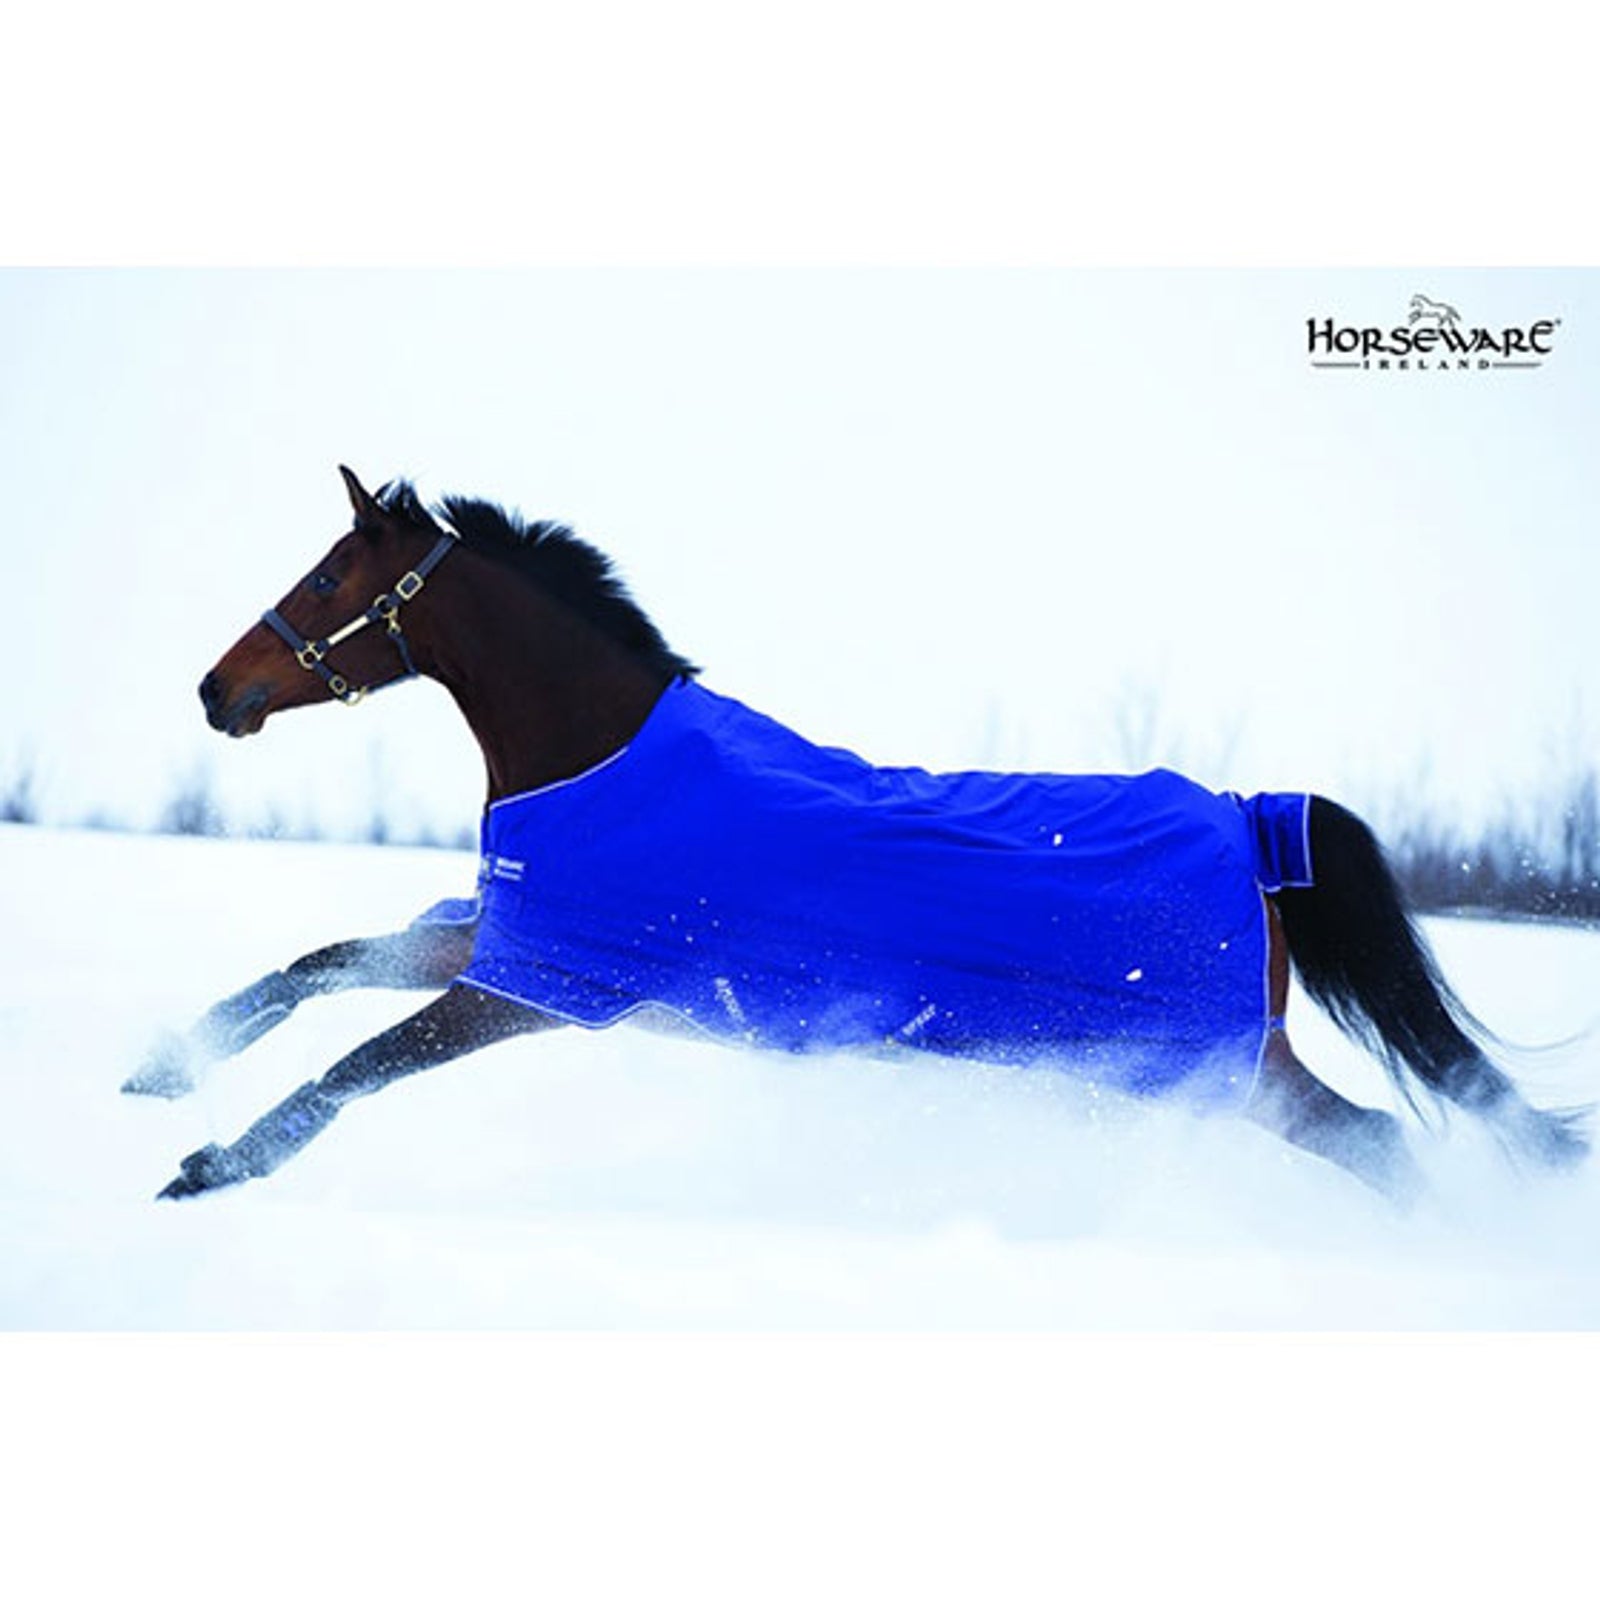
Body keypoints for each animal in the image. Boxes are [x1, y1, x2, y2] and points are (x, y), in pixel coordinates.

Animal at [142, 465, 1590, 1205]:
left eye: (330, 574)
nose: (216, 691)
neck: (598, 762)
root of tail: (1254, 827)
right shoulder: (513, 938)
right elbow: (325, 963)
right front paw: (165, 1061)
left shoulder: (542, 982)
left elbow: (359, 1066)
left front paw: (212, 1166)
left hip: (1226, 1071)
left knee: (1383, 1144)